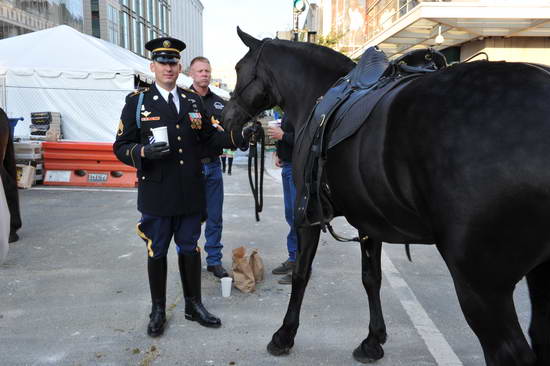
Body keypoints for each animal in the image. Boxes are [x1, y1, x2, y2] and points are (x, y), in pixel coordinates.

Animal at [223, 28, 550, 366]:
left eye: (238, 68)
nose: (227, 118)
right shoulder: (369, 222)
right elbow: (372, 278)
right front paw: (373, 341)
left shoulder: (307, 215)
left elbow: (302, 273)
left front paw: (284, 335)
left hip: (480, 286)